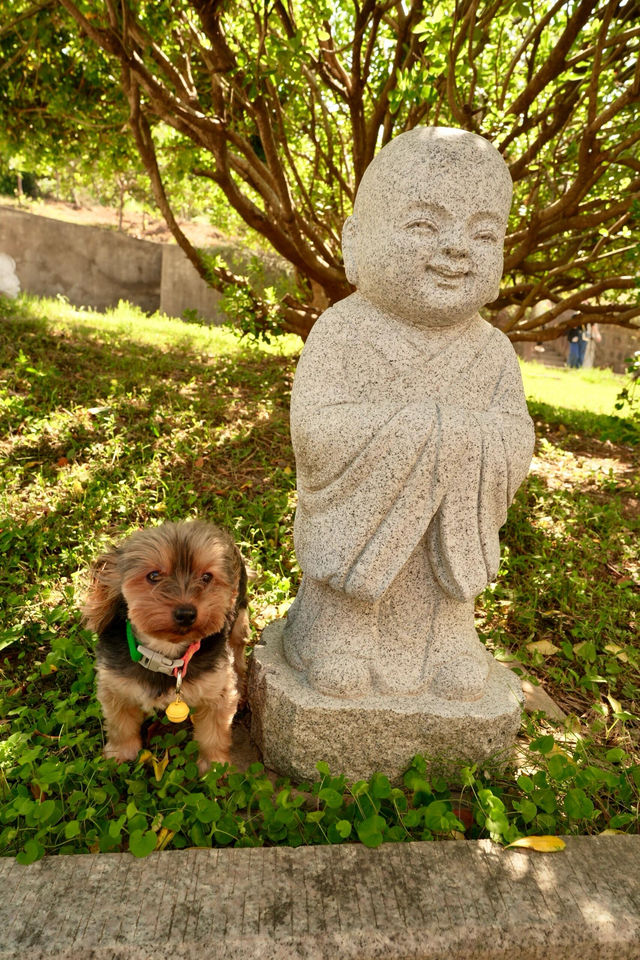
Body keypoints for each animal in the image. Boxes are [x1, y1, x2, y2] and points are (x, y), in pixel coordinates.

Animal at [80, 520, 250, 776]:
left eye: (207, 577)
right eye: (153, 575)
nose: (186, 613)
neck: (165, 655)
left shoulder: (217, 691)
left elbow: (214, 734)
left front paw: (215, 766)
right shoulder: (115, 686)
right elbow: (121, 725)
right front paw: (120, 753)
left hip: (239, 620)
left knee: (238, 652)